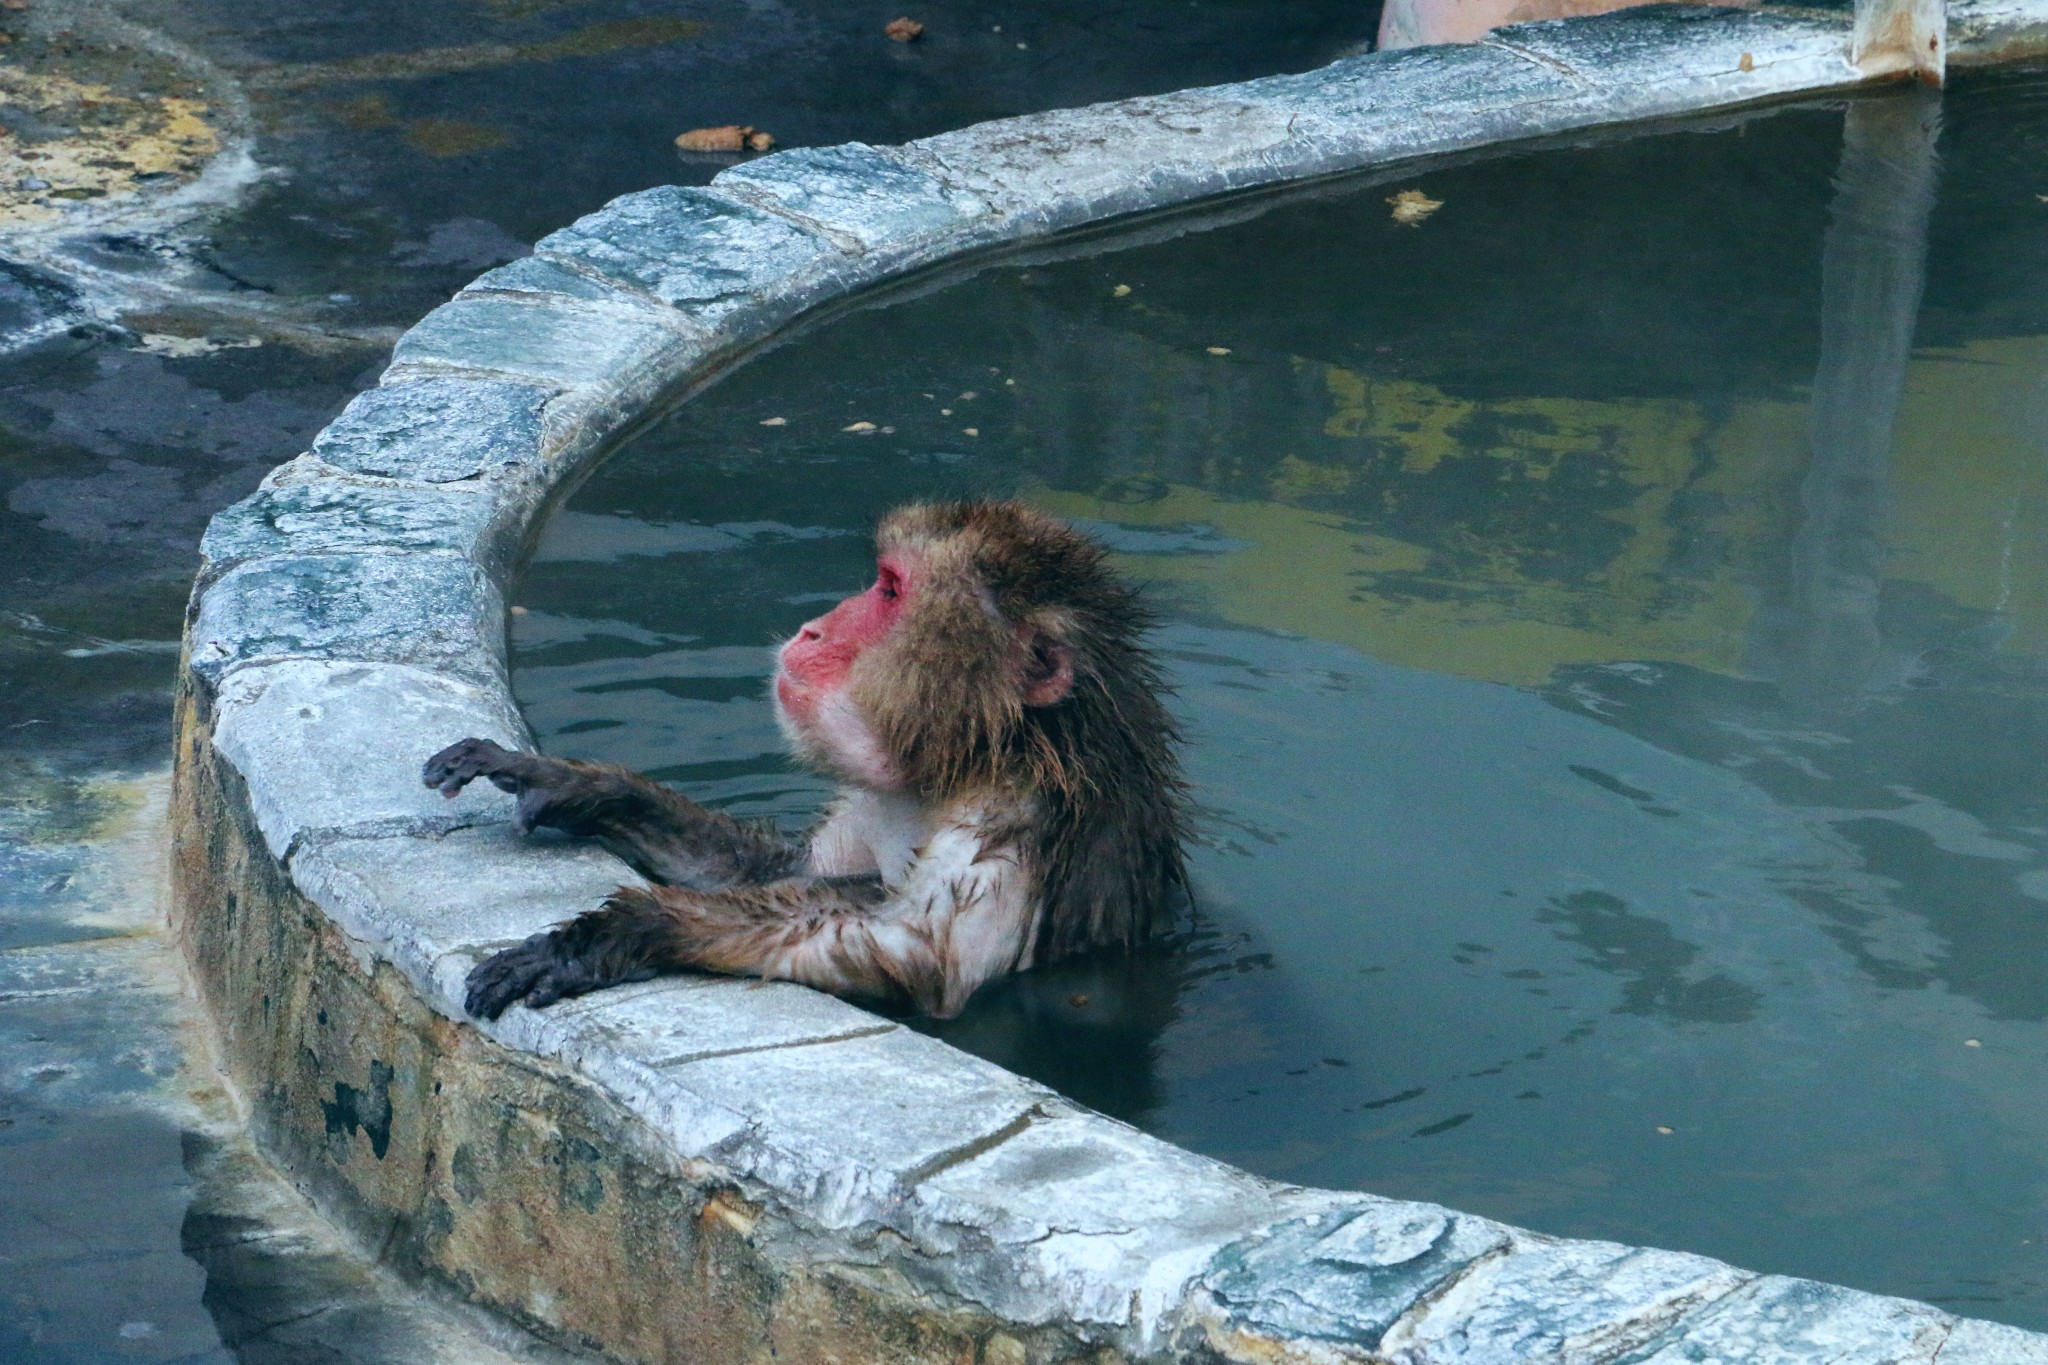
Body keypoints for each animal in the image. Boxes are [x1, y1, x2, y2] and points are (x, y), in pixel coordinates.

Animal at [430, 501, 1196, 1023]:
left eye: (890, 591)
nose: (813, 628)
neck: (975, 755)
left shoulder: (1015, 817)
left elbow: (915, 958)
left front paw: (622, 931)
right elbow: (792, 872)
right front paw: (576, 785)